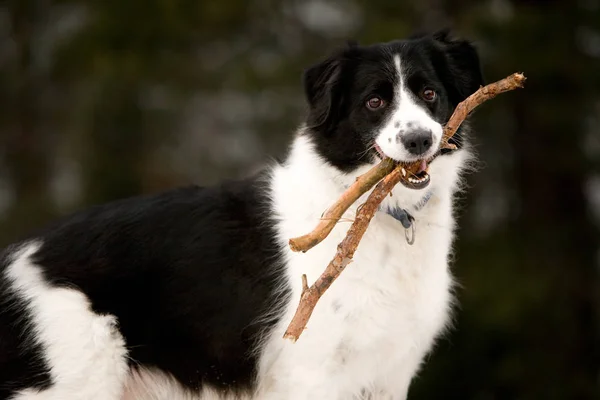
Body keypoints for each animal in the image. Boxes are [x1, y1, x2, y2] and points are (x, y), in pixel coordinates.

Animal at [0, 31, 482, 400]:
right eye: (375, 102)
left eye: (429, 93)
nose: (419, 140)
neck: (379, 215)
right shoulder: (309, 371)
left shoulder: (387, 374)